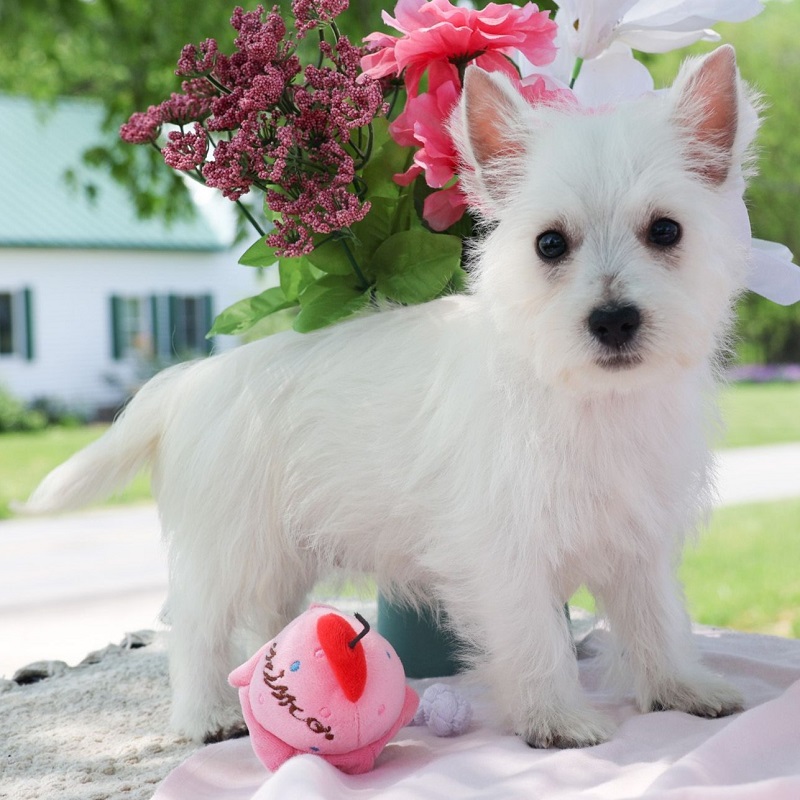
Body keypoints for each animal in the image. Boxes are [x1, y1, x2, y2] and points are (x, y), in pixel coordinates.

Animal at [20, 45, 756, 752]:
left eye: (666, 231)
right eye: (550, 244)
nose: (614, 321)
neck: (585, 397)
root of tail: (193, 380)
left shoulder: (638, 542)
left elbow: (658, 620)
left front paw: (683, 688)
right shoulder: (504, 553)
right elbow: (536, 639)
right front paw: (556, 718)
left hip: (281, 558)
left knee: (260, 617)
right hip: (230, 549)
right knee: (197, 630)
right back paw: (207, 717)